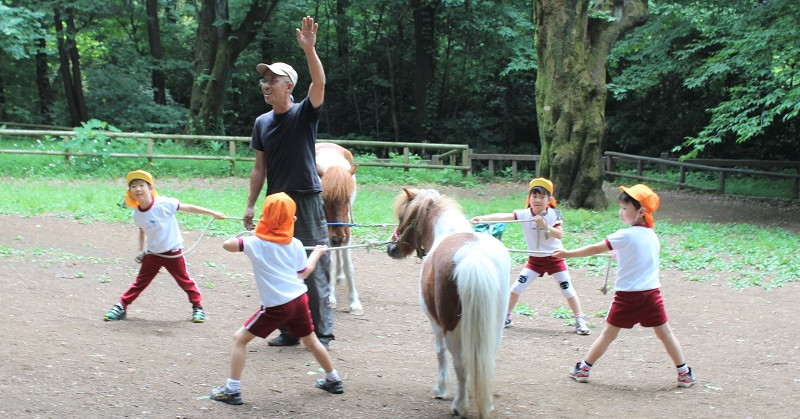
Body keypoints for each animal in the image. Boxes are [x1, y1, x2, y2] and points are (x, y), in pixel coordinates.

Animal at [314, 144, 364, 316]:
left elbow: (349, 267)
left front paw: (355, 303)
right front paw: (330, 297)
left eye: (348, 198)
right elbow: (328, 263)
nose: (337, 237)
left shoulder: (346, 233)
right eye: (324, 199)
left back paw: (339, 276)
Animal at [390, 189, 512, 418]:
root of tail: (474, 255)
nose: (392, 248)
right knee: (486, 358)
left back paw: (459, 405)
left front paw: (441, 389)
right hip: (496, 324)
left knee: (460, 363)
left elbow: (440, 353)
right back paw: (486, 402)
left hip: (451, 328)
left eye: (402, 217)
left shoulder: (435, 322)